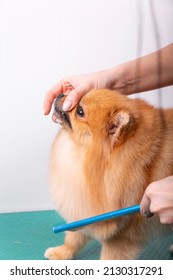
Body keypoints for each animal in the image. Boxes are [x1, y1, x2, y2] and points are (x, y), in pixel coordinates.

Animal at [45, 89, 173, 260]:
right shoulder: (84, 205)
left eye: (80, 111)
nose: (60, 95)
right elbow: (74, 237)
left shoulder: (121, 236)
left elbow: (109, 256)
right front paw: (61, 252)